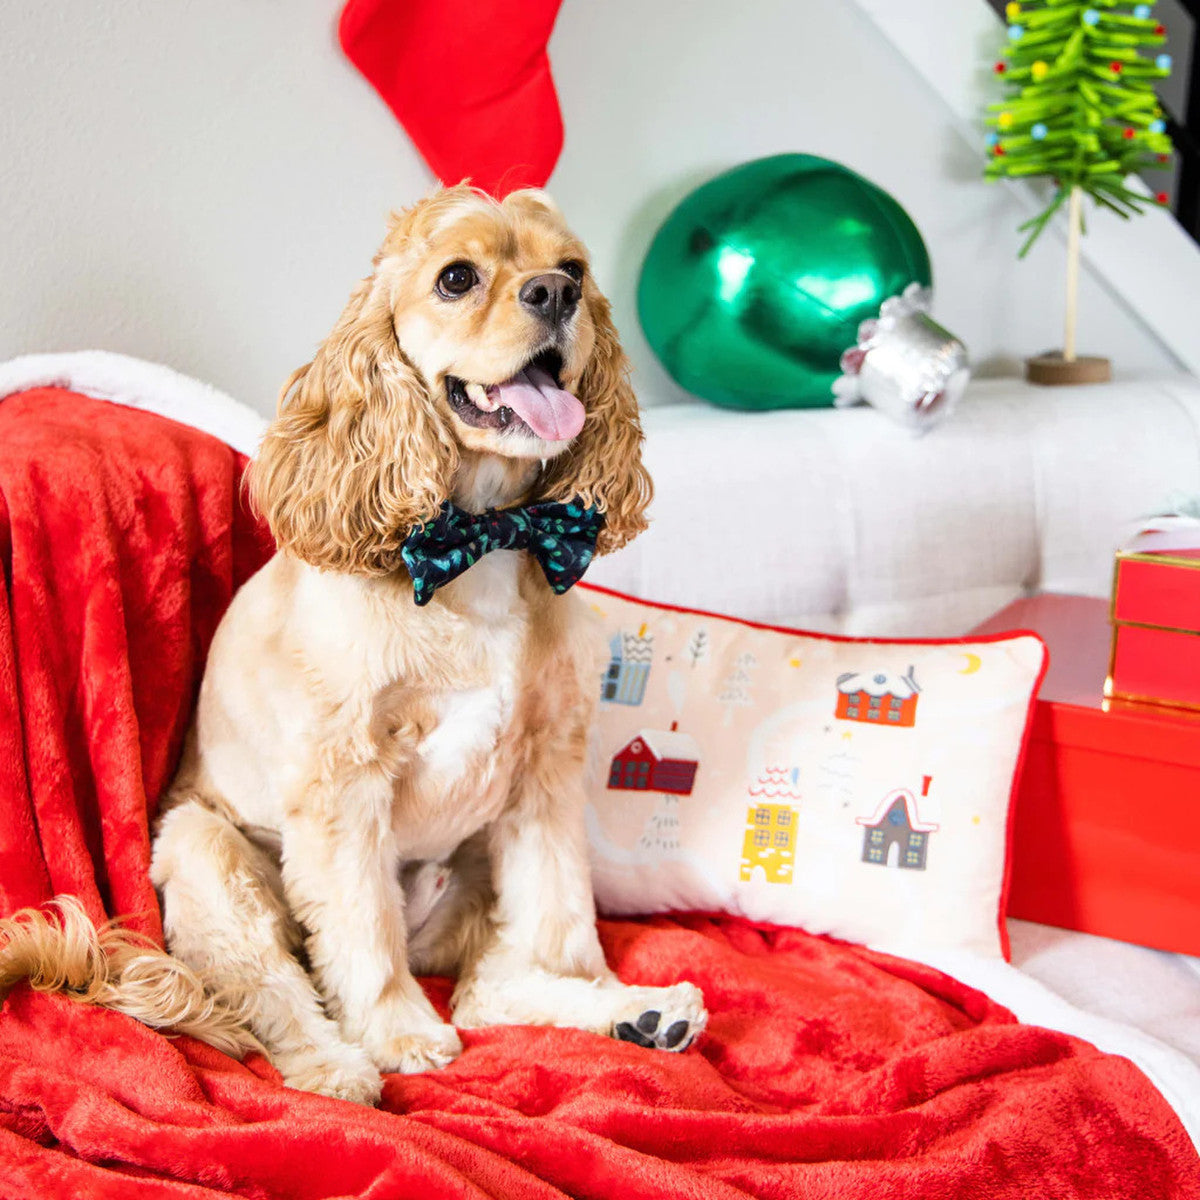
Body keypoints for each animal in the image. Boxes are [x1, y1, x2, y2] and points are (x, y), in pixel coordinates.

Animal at [0, 182, 700, 1099]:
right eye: (456, 277)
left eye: (575, 269)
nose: (556, 294)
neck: (483, 539)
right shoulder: (343, 781)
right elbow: (363, 930)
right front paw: (398, 1033)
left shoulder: (545, 776)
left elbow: (560, 916)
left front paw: (596, 993)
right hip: (204, 850)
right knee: (274, 998)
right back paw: (339, 1070)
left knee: (486, 987)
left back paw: (637, 1012)